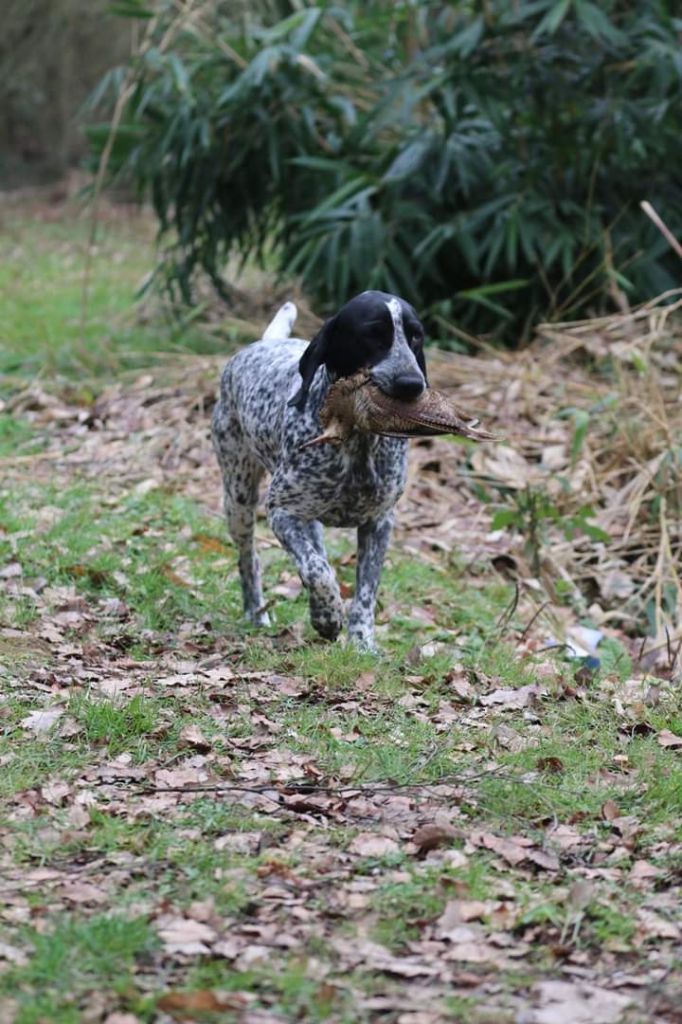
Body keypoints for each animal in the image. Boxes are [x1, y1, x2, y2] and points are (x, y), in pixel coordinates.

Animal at [209, 292, 428, 651]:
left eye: (416, 337)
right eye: (372, 334)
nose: (412, 384)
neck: (357, 442)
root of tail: (263, 344)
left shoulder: (379, 523)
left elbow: (365, 592)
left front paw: (362, 642)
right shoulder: (283, 512)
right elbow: (317, 571)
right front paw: (327, 615)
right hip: (238, 499)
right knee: (250, 559)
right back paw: (257, 611)